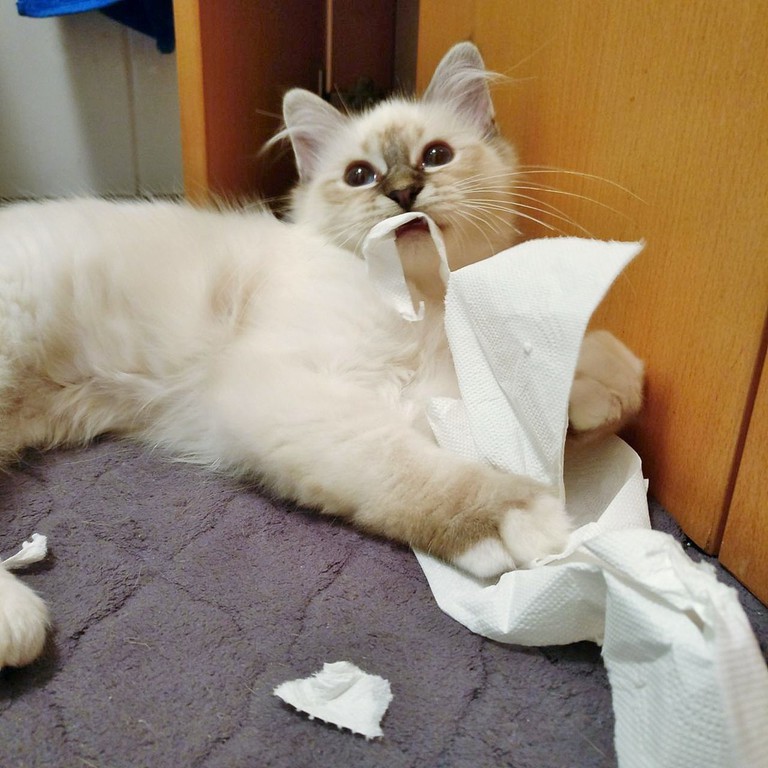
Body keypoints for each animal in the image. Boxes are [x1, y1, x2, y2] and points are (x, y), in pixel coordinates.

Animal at [0, 42, 643, 668]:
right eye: (360, 175)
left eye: (435, 156)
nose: (402, 191)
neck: (420, 300)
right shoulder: (307, 390)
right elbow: (414, 469)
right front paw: (522, 519)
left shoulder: (430, 380)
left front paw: (601, 392)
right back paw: (19, 625)